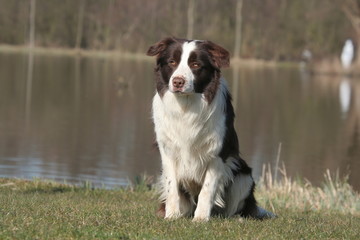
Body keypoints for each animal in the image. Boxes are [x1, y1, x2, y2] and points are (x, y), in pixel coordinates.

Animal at [145, 36, 274, 221]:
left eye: (196, 65)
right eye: (172, 62)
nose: (177, 82)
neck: (187, 105)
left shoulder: (218, 153)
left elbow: (208, 188)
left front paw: (200, 218)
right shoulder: (167, 150)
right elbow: (172, 186)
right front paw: (172, 215)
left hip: (244, 176)